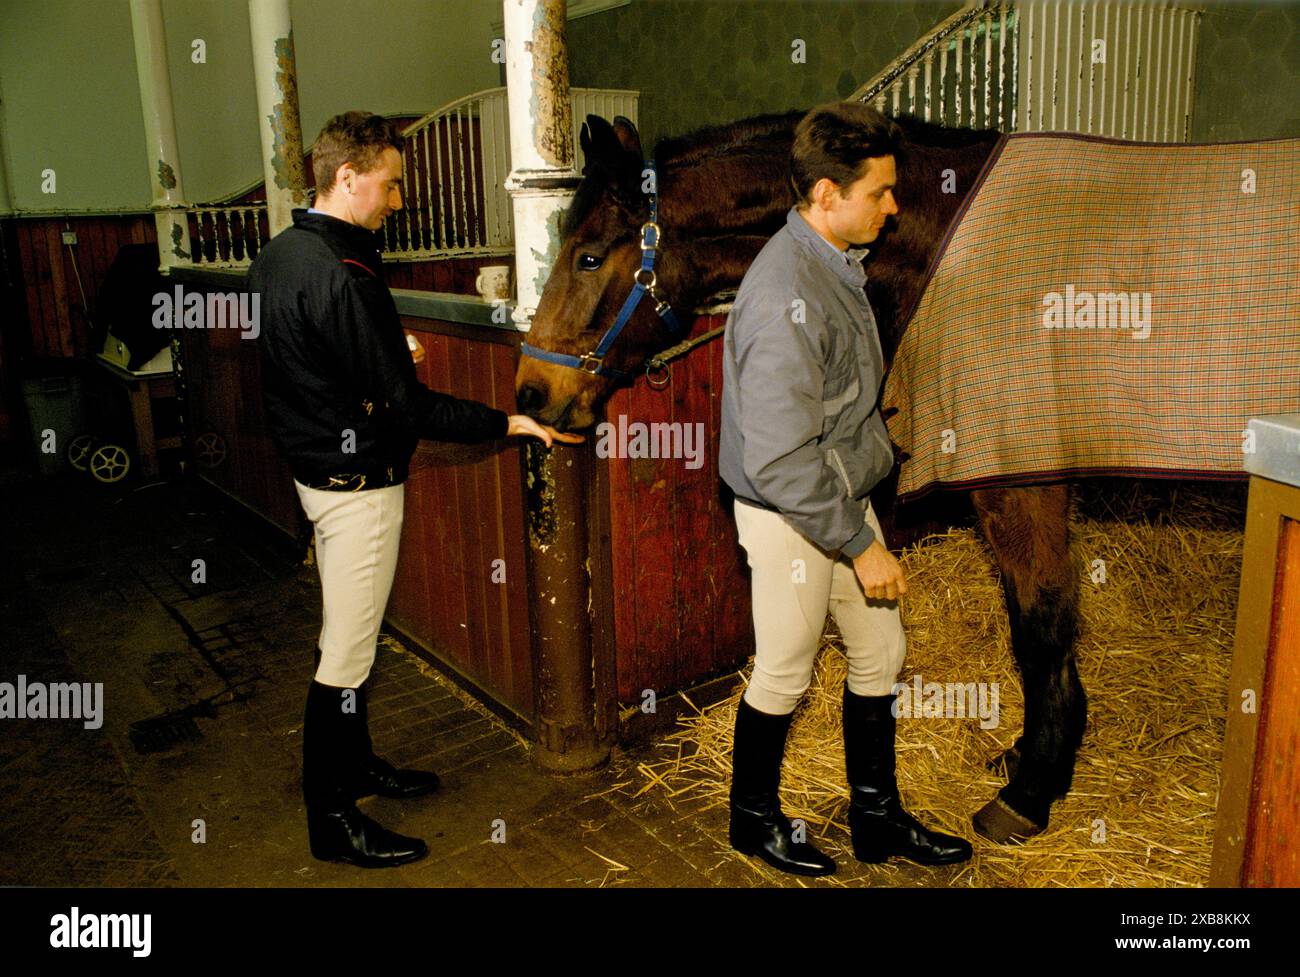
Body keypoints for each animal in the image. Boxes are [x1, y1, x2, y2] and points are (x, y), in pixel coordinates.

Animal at [512, 108, 1081, 841]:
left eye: (586, 256)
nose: (530, 390)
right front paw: (1033, 759)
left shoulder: (1023, 481)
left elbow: (1041, 623)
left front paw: (1033, 786)